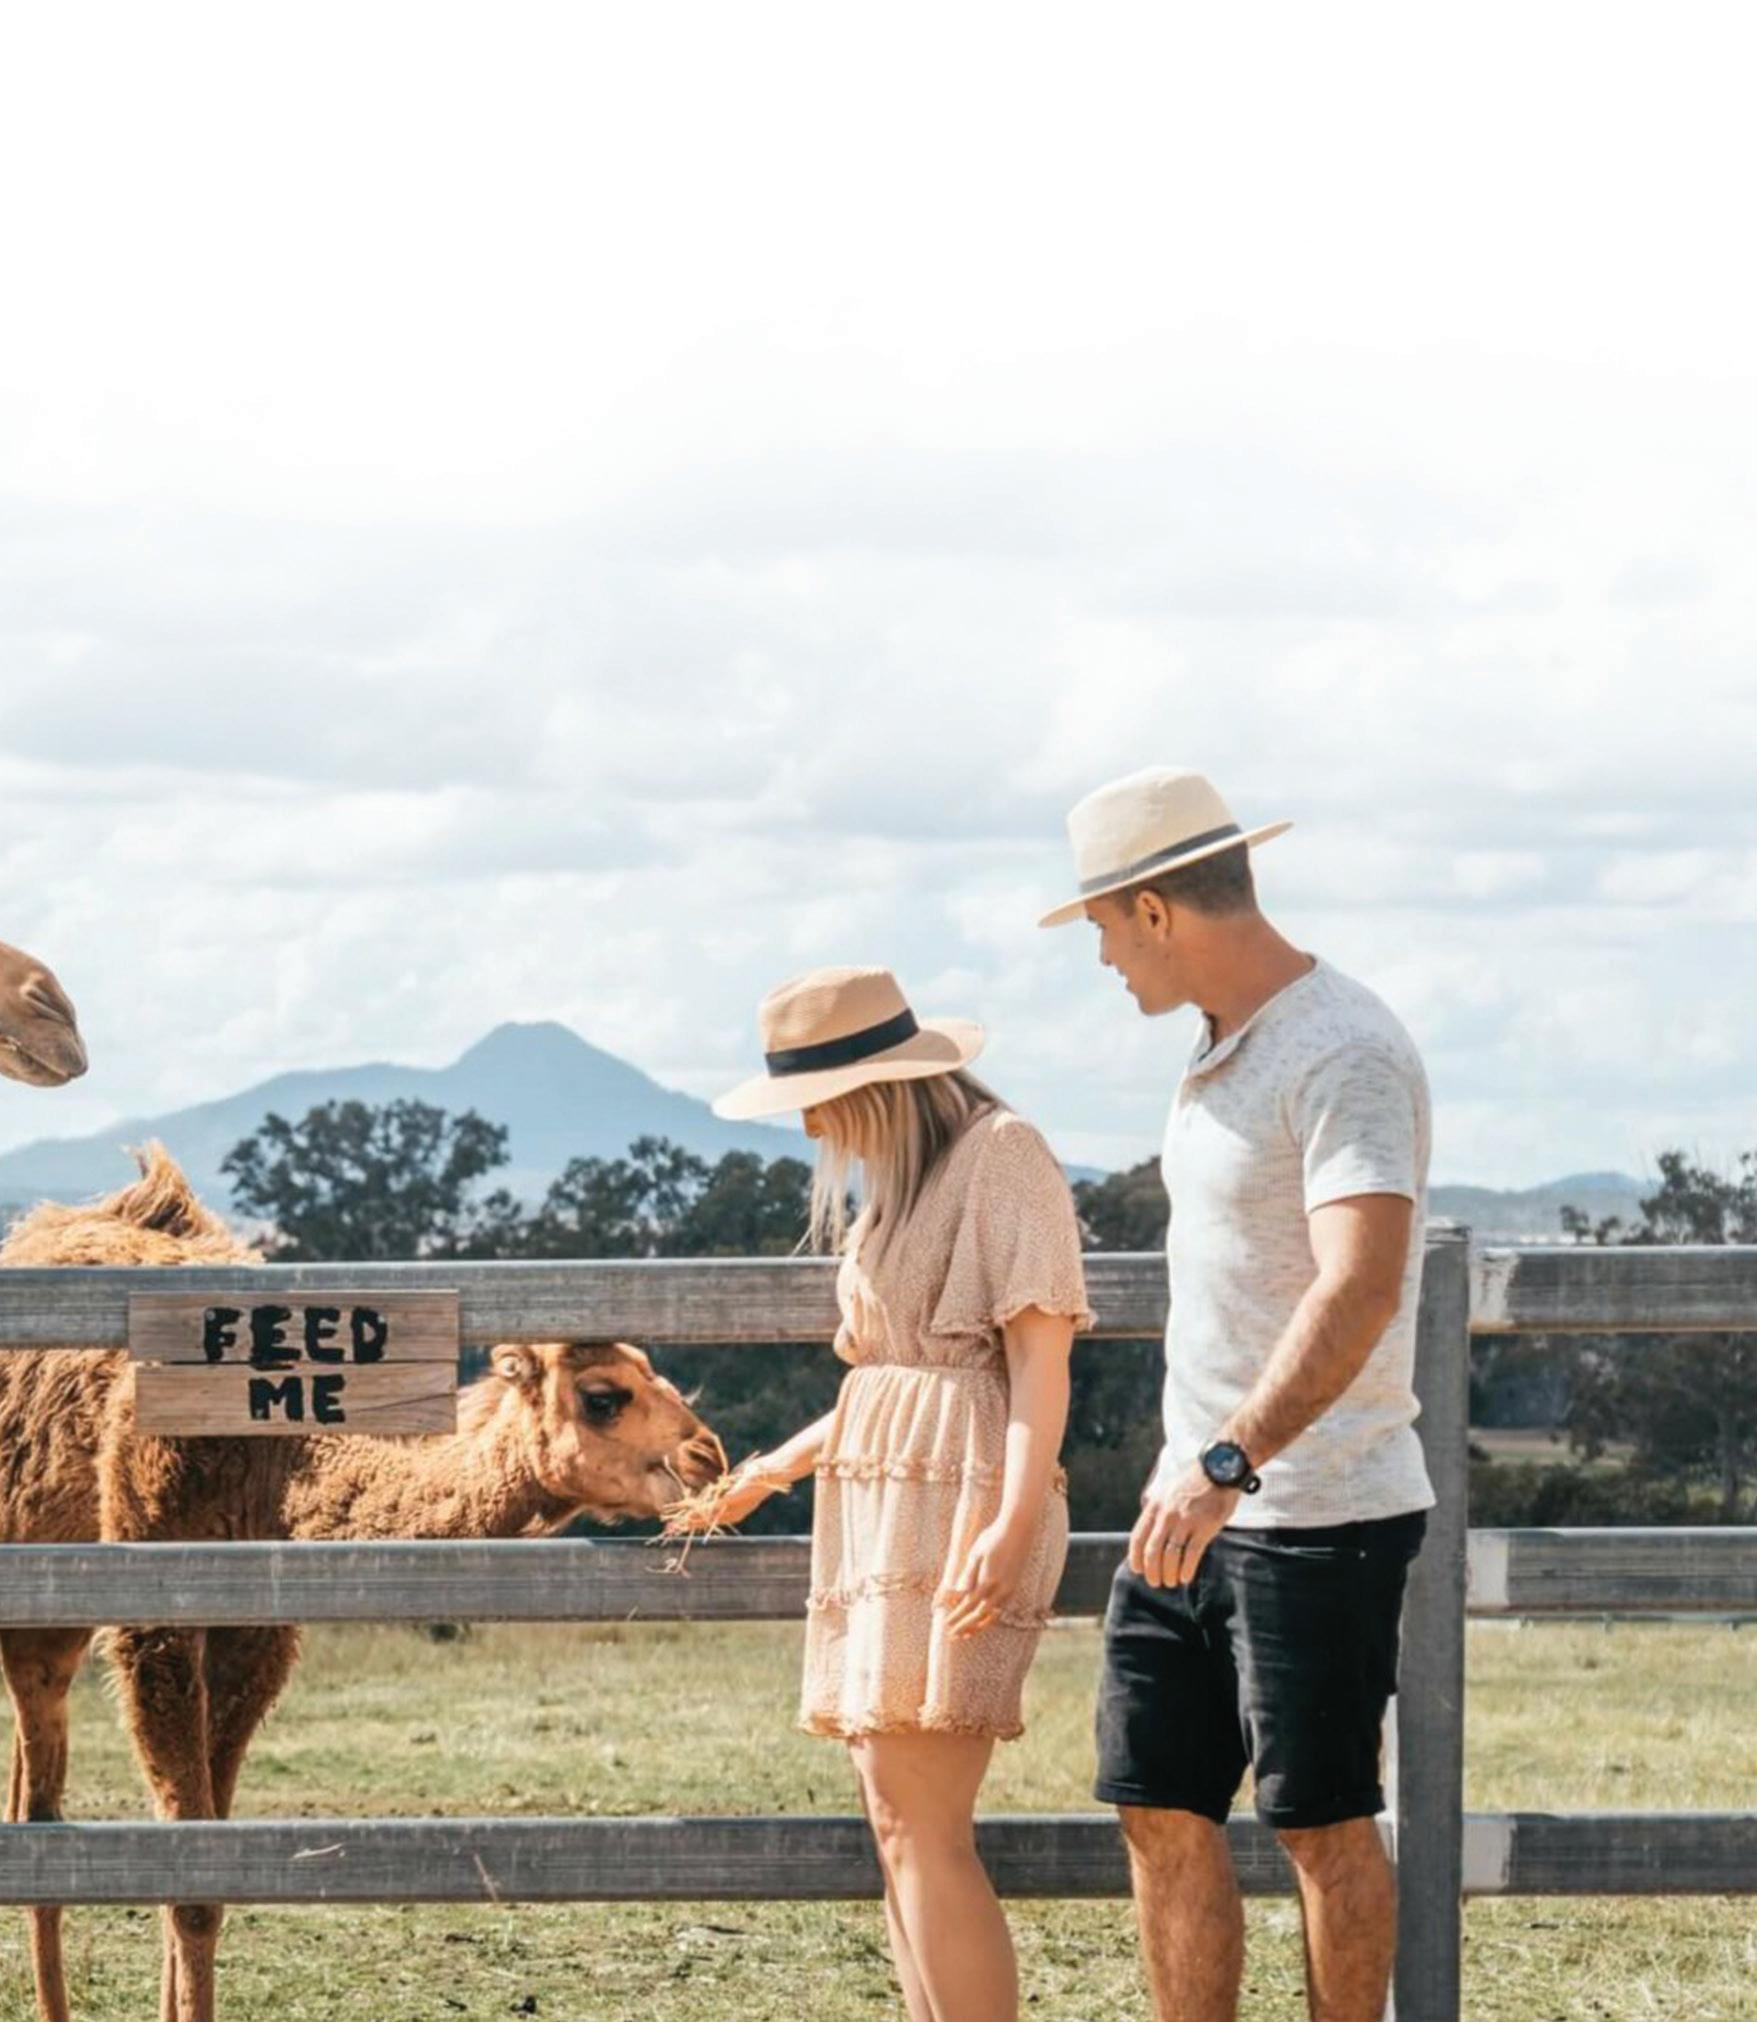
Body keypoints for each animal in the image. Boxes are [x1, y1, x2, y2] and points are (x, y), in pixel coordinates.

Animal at [0, 1145, 726, 2022]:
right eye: (602, 1397)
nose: (708, 1455)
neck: (273, 1457)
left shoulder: (254, 1636)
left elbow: (208, 1859)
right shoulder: (154, 1622)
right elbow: (190, 1885)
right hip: (37, 1607)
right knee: (39, 1803)